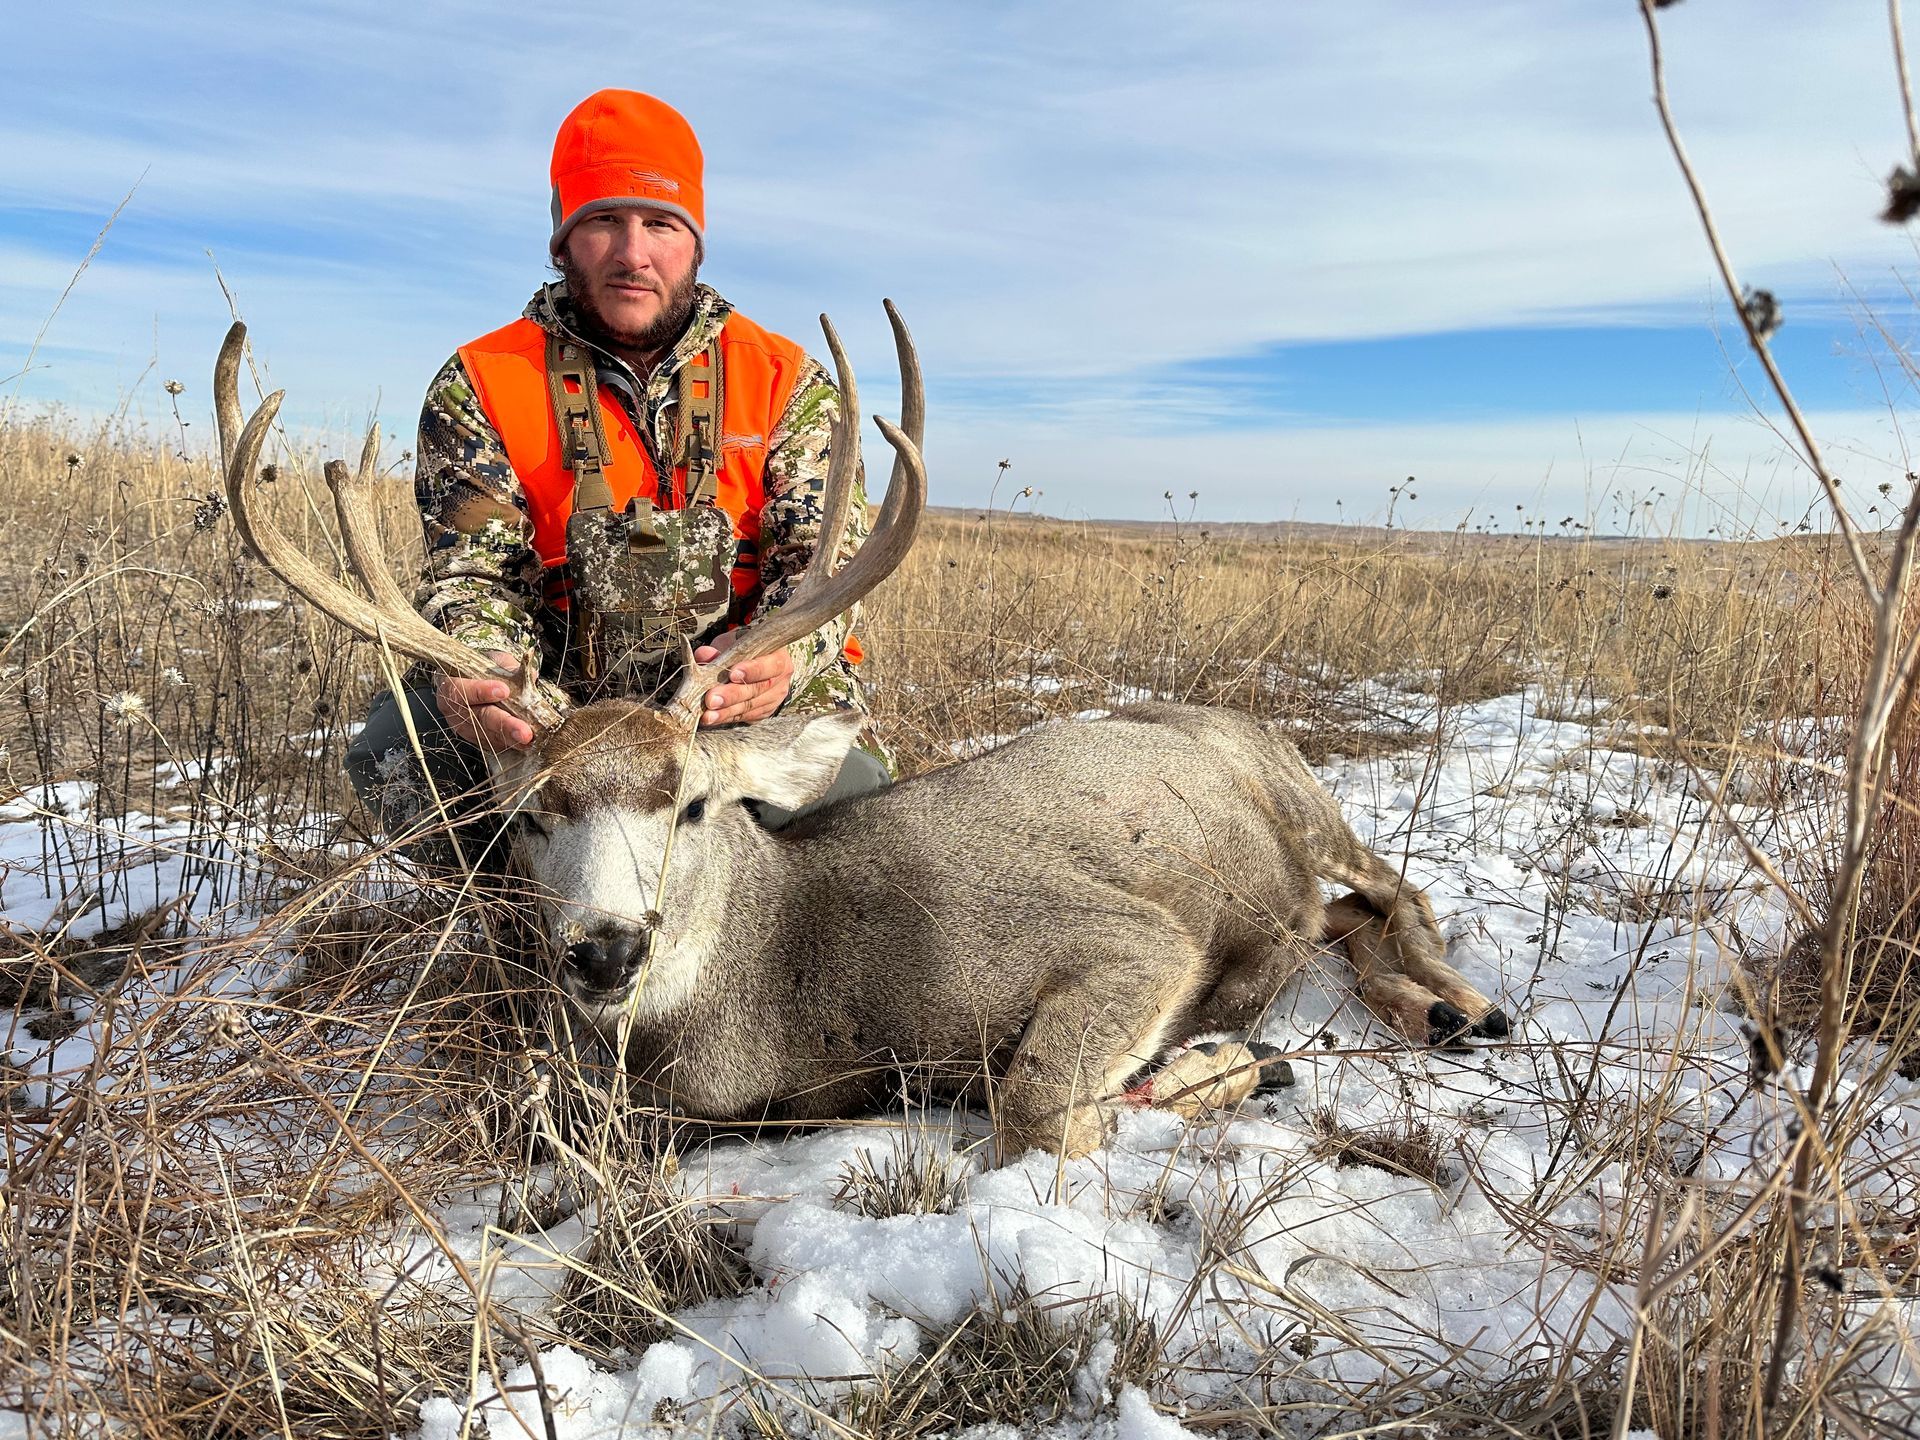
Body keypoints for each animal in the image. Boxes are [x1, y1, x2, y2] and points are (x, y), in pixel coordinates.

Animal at [213, 307, 1508, 1160]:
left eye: (693, 802)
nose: (605, 951)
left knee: (1389, 891)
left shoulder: (1128, 936)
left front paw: (1211, 1067)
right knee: (1344, 923)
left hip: (1303, 801)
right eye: (535, 814)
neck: (793, 987)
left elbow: (1038, 1104)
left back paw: (1465, 1007)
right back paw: (1431, 1011)